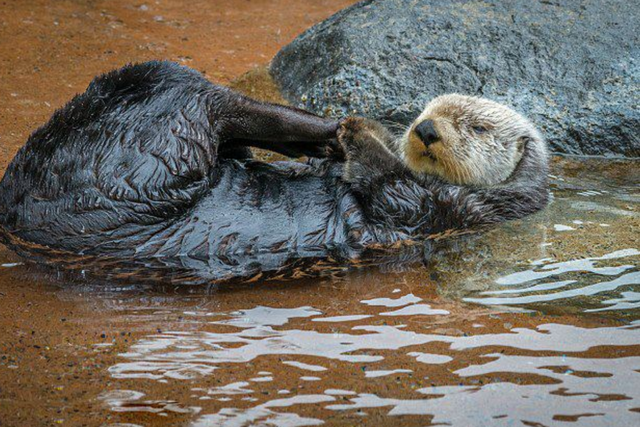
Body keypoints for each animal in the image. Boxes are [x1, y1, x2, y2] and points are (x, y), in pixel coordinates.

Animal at [0, 60, 552, 280]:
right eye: (426, 110)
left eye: (476, 126)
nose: (426, 129)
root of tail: (15, 212)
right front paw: (355, 139)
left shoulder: (453, 210)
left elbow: (392, 189)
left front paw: (360, 137)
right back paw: (324, 135)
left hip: (144, 148)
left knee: (211, 103)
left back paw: (330, 129)